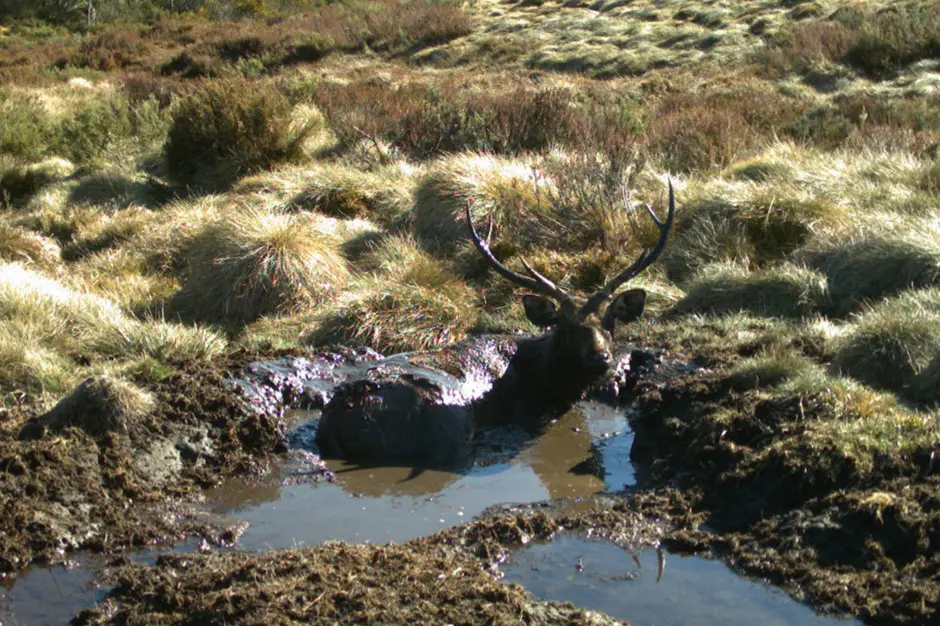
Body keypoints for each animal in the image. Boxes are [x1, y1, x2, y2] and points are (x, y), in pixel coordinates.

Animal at [315, 182, 675, 466]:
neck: (549, 384)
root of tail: (340, 415)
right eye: (565, 326)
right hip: (445, 429)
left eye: (611, 321)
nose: (600, 357)